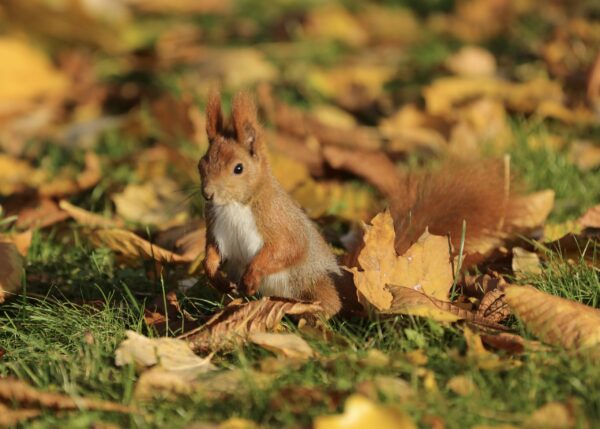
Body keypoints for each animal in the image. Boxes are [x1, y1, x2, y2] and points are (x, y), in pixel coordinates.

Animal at [199, 91, 344, 314]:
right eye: (201, 164)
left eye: (239, 168)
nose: (207, 194)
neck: (235, 205)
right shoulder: (215, 225)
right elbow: (211, 251)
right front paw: (215, 276)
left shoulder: (277, 218)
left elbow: (289, 247)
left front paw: (251, 276)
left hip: (314, 284)